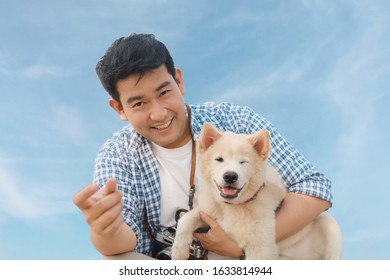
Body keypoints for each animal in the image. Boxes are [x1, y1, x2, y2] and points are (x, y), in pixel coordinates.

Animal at [172, 123, 342, 260]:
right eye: (219, 159)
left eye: (243, 162)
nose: (230, 176)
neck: (232, 206)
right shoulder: (207, 212)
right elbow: (186, 219)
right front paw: (178, 252)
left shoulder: (261, 247)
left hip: (329, 227)